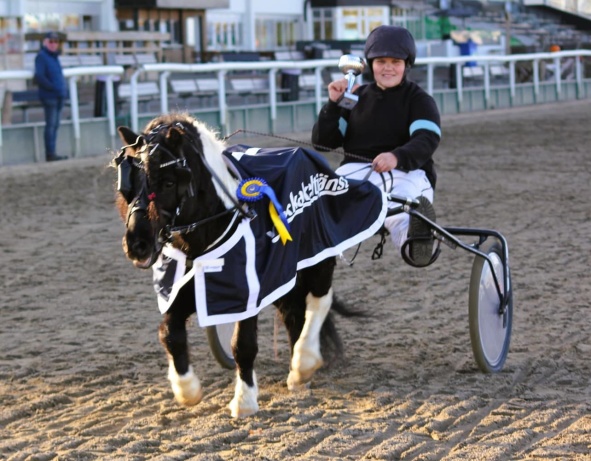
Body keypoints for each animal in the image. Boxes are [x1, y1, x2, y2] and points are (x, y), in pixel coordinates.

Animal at [111, 114, 380, 416]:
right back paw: (298, 371)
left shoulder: (247, 291)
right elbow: (170, 334)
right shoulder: (180, 291)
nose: (137, 243)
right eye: (129, 183)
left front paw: (245, 400)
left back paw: (304, 361)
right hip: (284, 272)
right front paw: (187, 390)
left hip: (318, 256)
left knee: (319, 301)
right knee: (293, 312)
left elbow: (243, 344)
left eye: (168, 182)